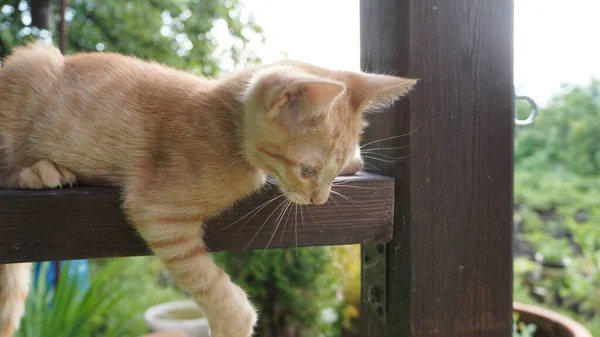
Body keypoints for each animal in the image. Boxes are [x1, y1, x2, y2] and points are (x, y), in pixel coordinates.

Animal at [0, 42, 414, 336]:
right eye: (307, 170)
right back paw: (41, 171)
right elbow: (205, 278)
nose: (319, 200)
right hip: (29, 72)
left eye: (335, 171)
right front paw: (233, 319)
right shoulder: (156, 211)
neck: (224, 120)